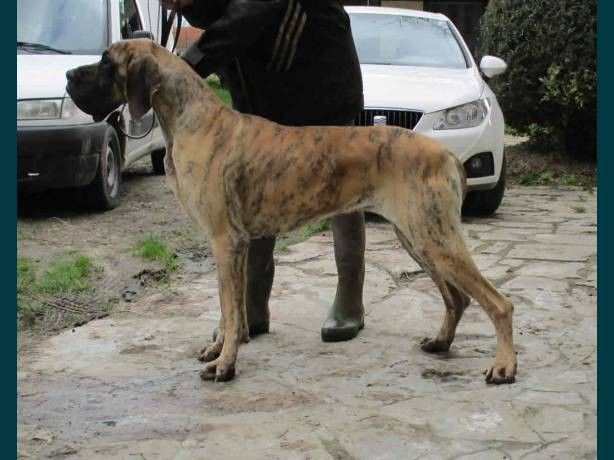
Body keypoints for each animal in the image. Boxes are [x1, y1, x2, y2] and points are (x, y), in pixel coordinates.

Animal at [66, 39, 517, 384]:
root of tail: (446, 154)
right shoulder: (231, 246)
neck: (191, 118)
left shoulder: (225, 241)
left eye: (106, 62)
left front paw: (225, 364)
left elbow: (230, 309)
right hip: (419, 238)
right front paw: (220, 348)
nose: (69, 75)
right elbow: (229, 307)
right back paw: (441, 343)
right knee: (457, 298)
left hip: (433, 237)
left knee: (498, 302)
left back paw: (503, 367)